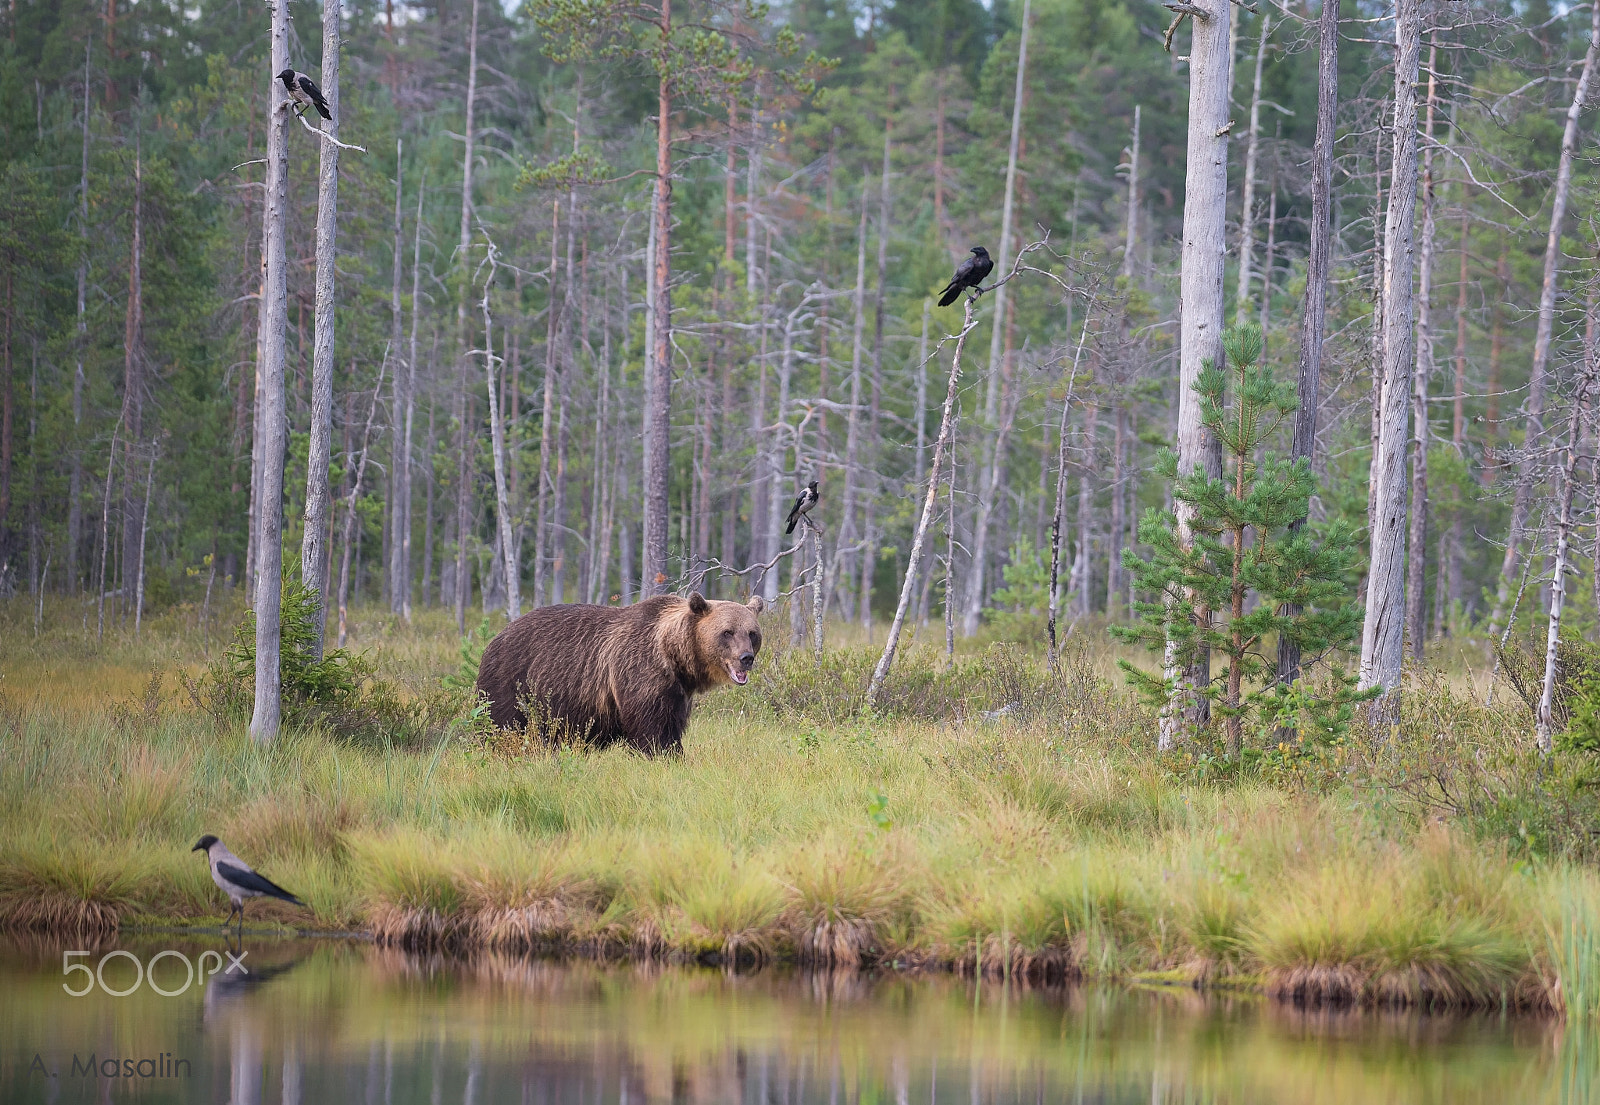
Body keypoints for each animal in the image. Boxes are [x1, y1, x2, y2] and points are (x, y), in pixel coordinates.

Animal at [474, 592, 766, 754]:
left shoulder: (677, 692)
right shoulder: (639, 673)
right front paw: (666, 758)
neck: (674, 658)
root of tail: (493, 638)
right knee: (501, 726)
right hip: (510, 682)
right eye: (727, 632)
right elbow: (653, 732)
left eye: (752, 633)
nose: (746, 658)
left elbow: (671, 727)